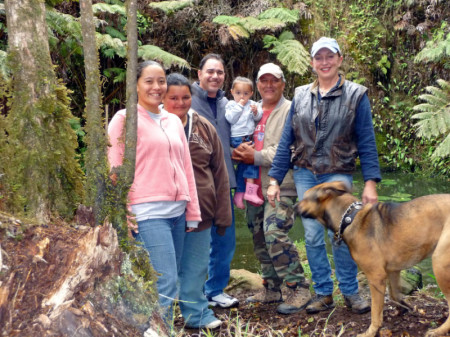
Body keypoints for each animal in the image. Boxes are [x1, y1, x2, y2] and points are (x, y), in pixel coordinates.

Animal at [298, 181, 450, 336]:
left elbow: (375, 312)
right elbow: (394, 294)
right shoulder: (393, 271)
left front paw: (371, 332)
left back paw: (438, 330)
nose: (293, 207)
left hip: (439, 264)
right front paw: (404, 308)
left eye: (304, 198)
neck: (349, 218)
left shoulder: (376, 277)